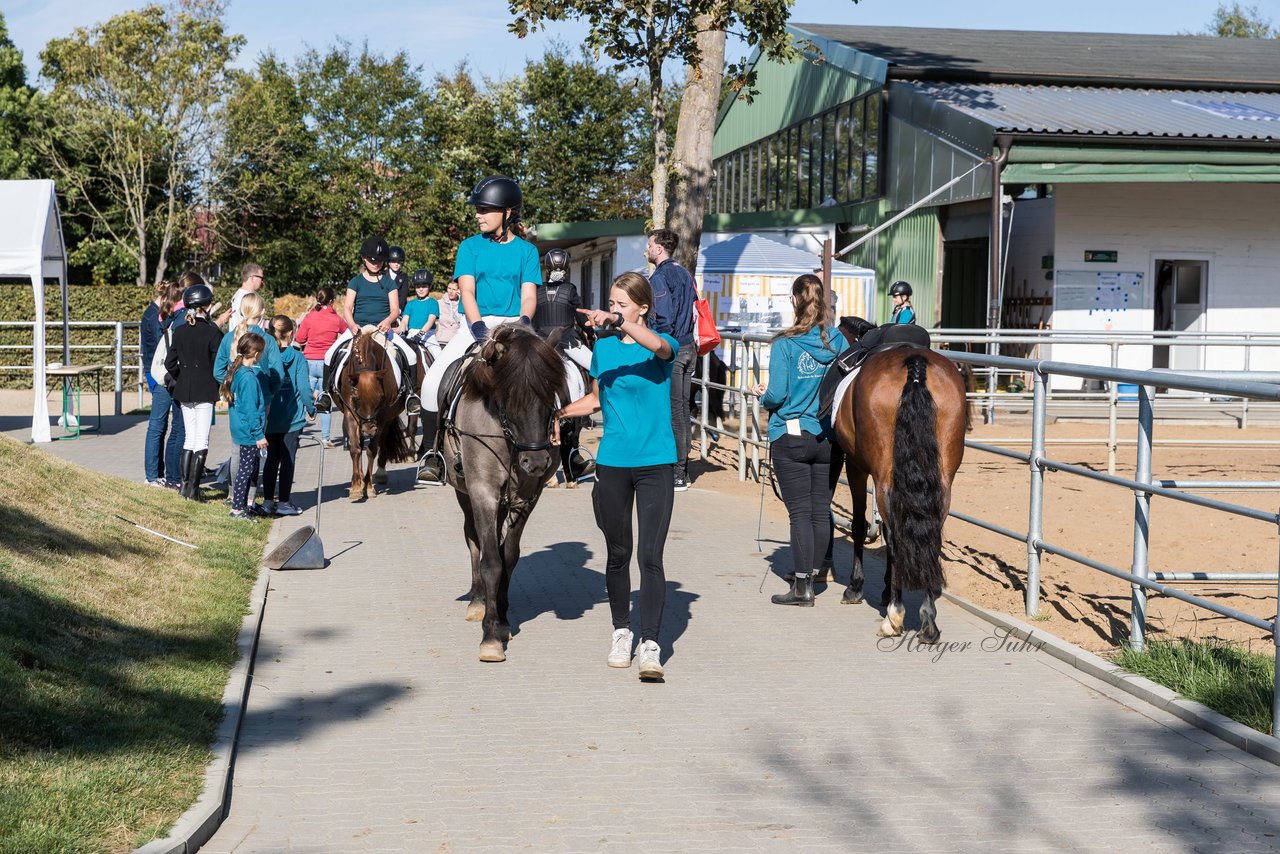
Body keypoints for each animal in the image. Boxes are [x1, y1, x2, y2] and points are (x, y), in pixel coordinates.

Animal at [335, 330, 404, 496]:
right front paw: (355, 486)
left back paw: (379, 474)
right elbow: (355, 448)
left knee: (383, 440)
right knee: (360, 444)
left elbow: (372, 450)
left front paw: (369, 486)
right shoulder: (350, 414)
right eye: (355, 398)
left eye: (381, 397)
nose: (369, 430)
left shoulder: (382, 417)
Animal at [442, 323, 568, 665]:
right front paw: (490, 635)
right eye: (510, 398)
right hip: (466, 493)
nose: (536, 463)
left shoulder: (528, 496)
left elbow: (508, 555)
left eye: (551, 397)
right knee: (473, 538)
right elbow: (490, 561)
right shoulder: (483, 492)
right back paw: (477, 600)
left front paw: (502, 620)